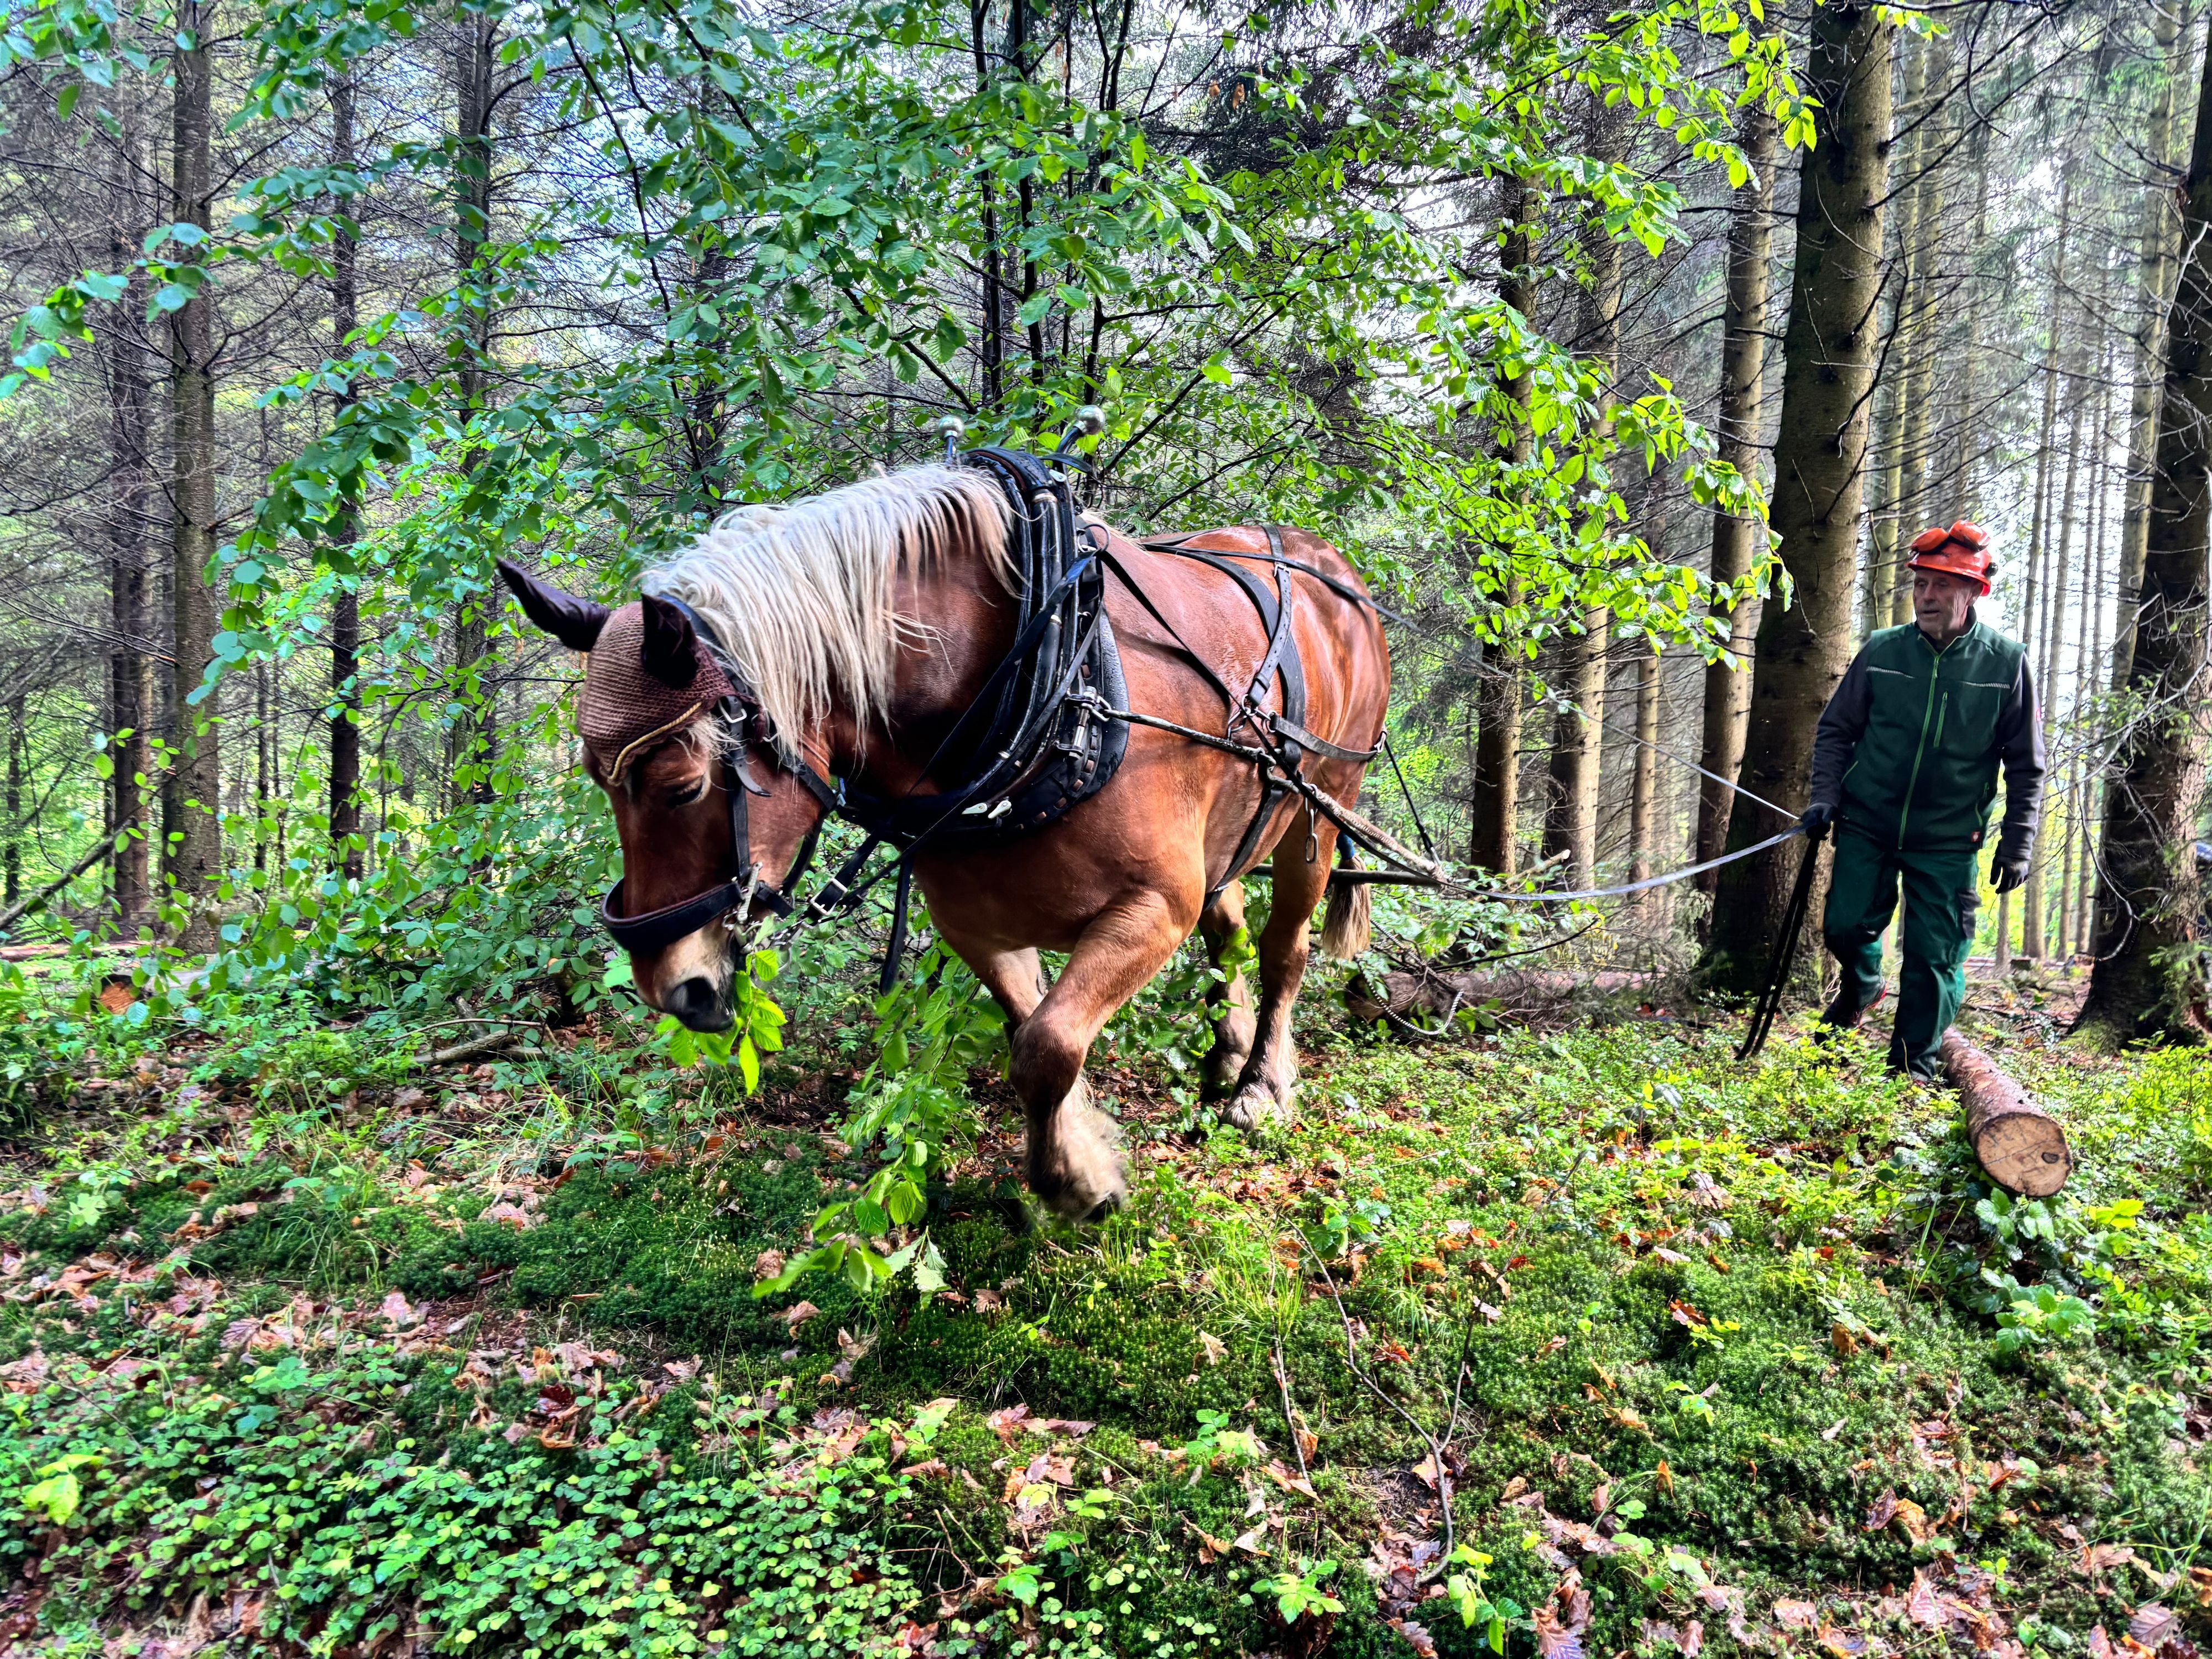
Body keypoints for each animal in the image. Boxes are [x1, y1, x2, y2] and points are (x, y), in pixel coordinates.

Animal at [498, 460, 1391, 1221]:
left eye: (682, 786)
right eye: (595, 776)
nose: (669, 988)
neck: (1047, 688)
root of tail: (1333, 570)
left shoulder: (1153, 907)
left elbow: (1049, 1046)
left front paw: (1074, 1181)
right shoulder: (980, 927)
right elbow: (1034, 1038)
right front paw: (1081, 1150)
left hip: (1319, 814)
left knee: (1282, 951)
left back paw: (1260, 1083)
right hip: (1237, 828)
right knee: (1228, 931)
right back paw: (1226, 1051)